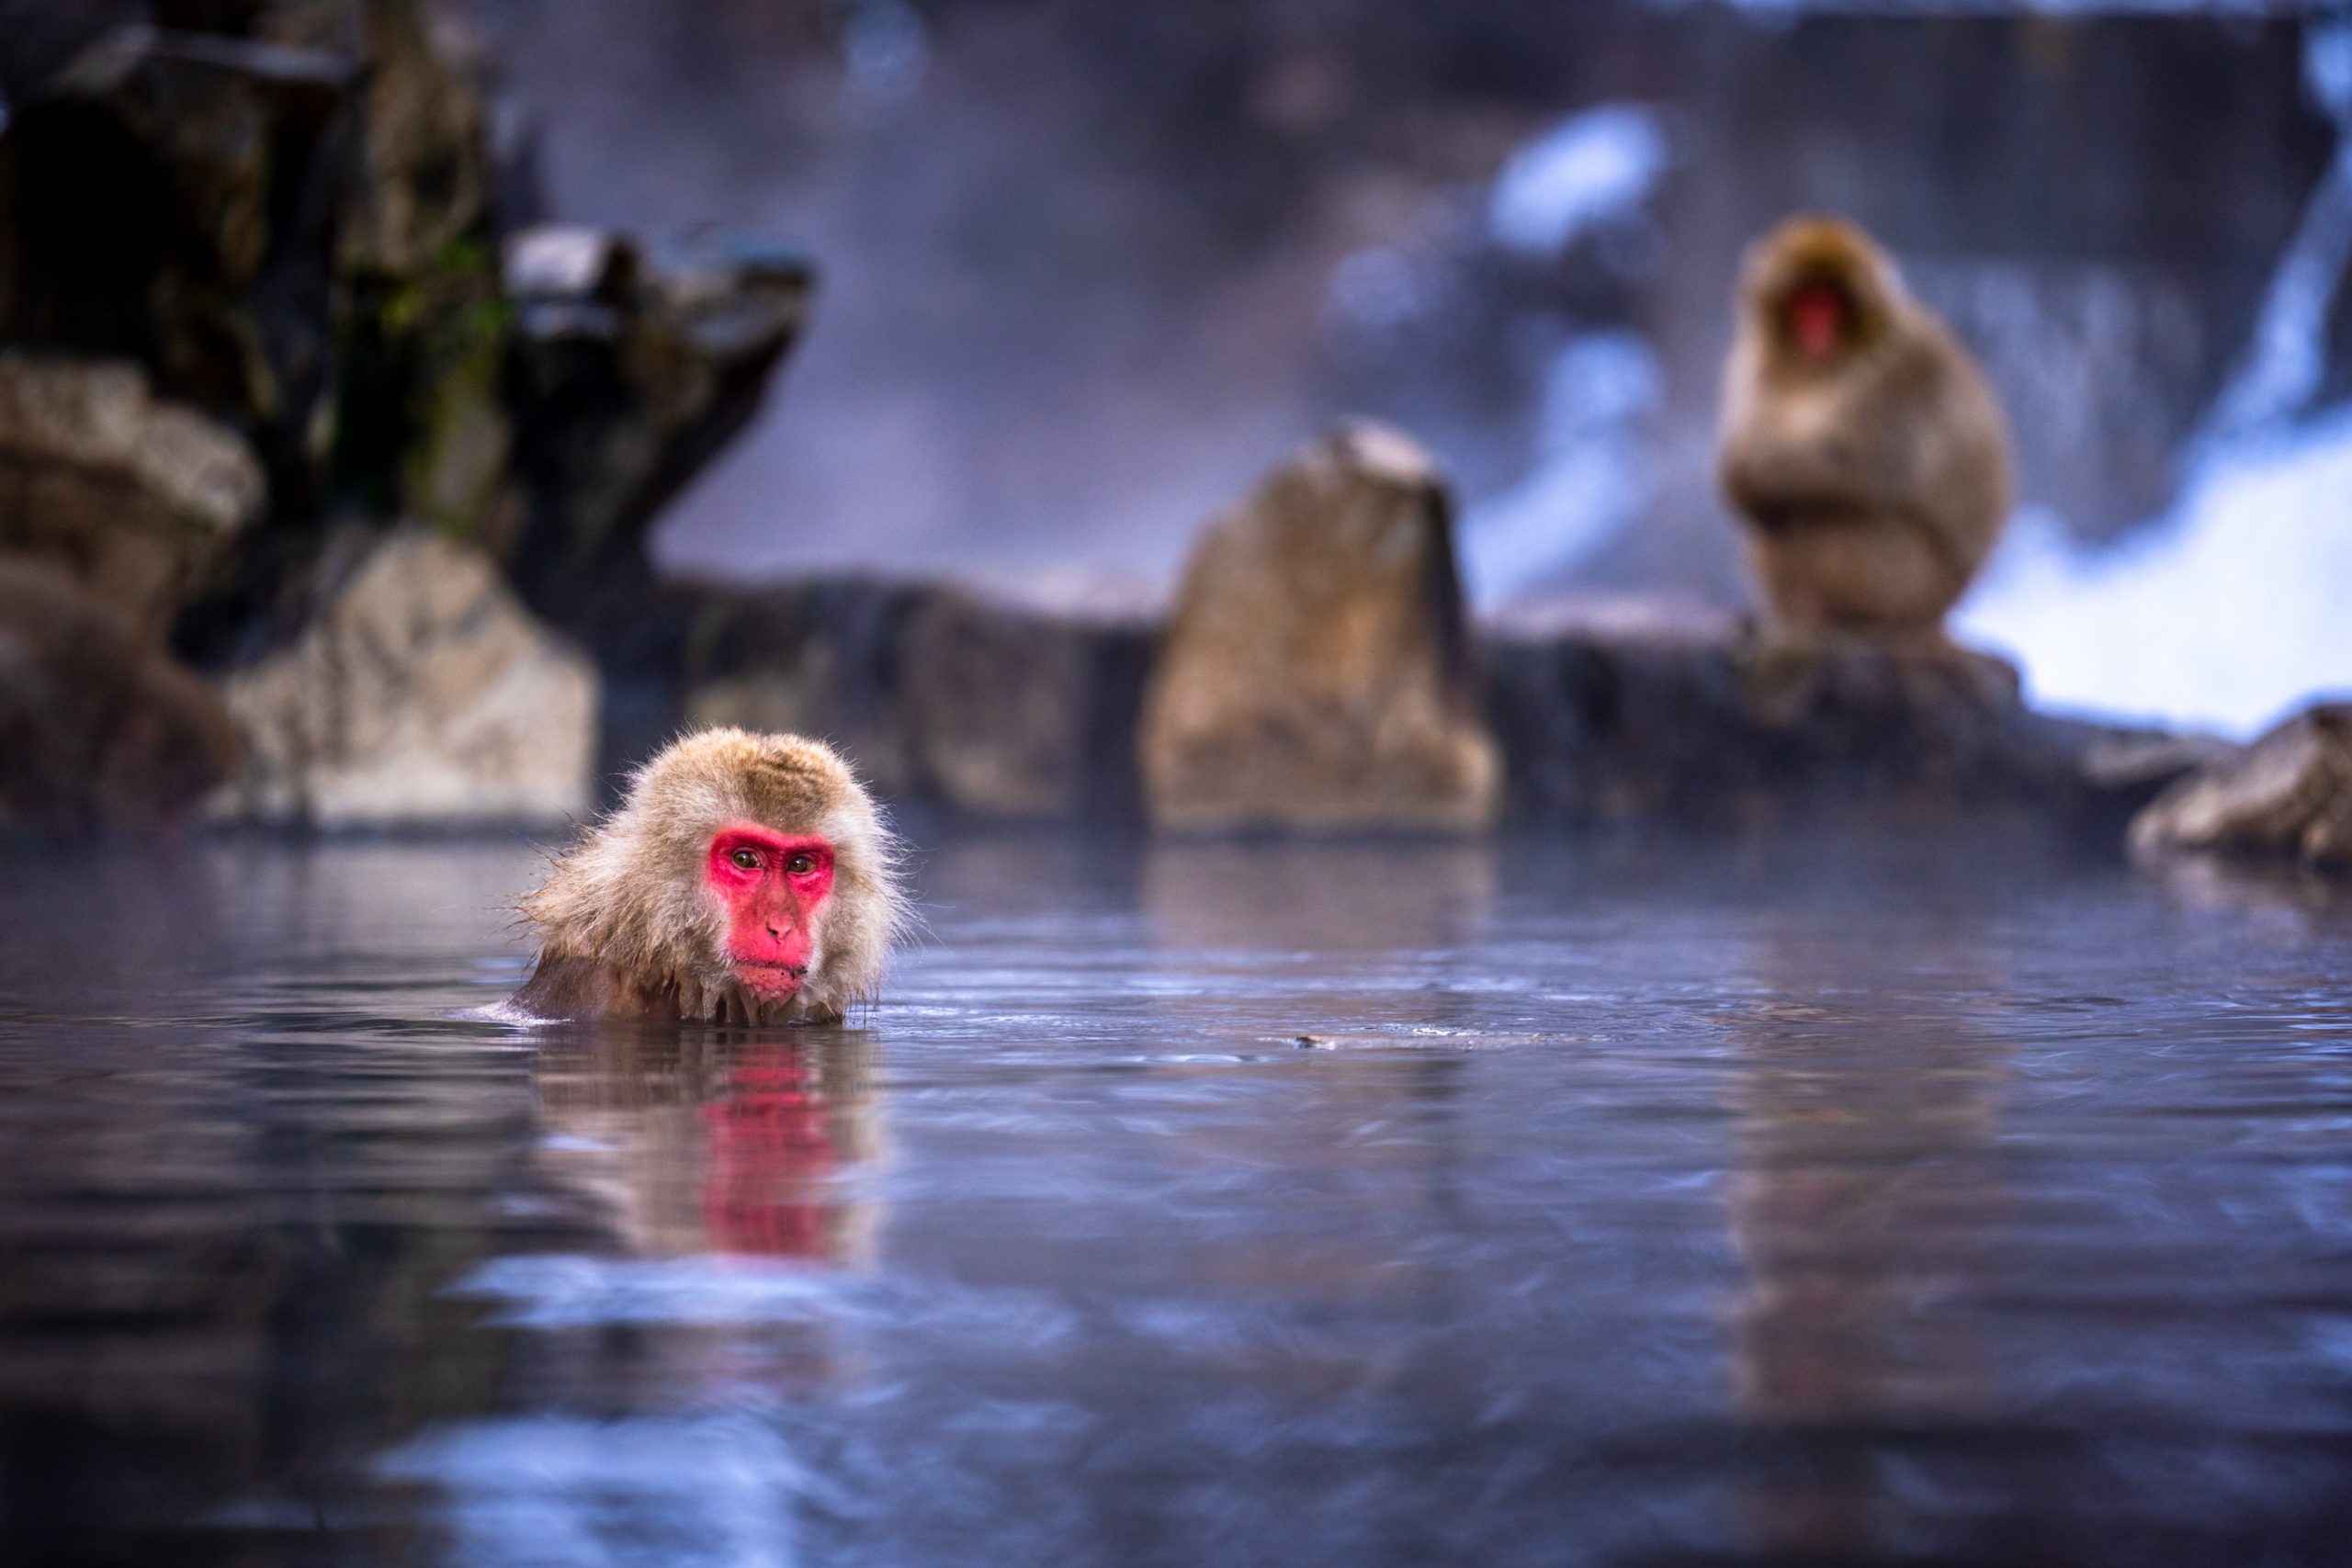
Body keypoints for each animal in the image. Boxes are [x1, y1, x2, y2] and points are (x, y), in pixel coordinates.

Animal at [1716, 217, 2012, 640]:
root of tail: (1942, 610)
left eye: (1833, 302)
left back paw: (1839, 613)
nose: (1817, 326)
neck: (1820, 367)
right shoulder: (1753, 367)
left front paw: (1747, 476)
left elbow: (1876, 466)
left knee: (1821, 515)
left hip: (1909, 585)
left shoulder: (1900, 366)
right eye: (1804, 300)